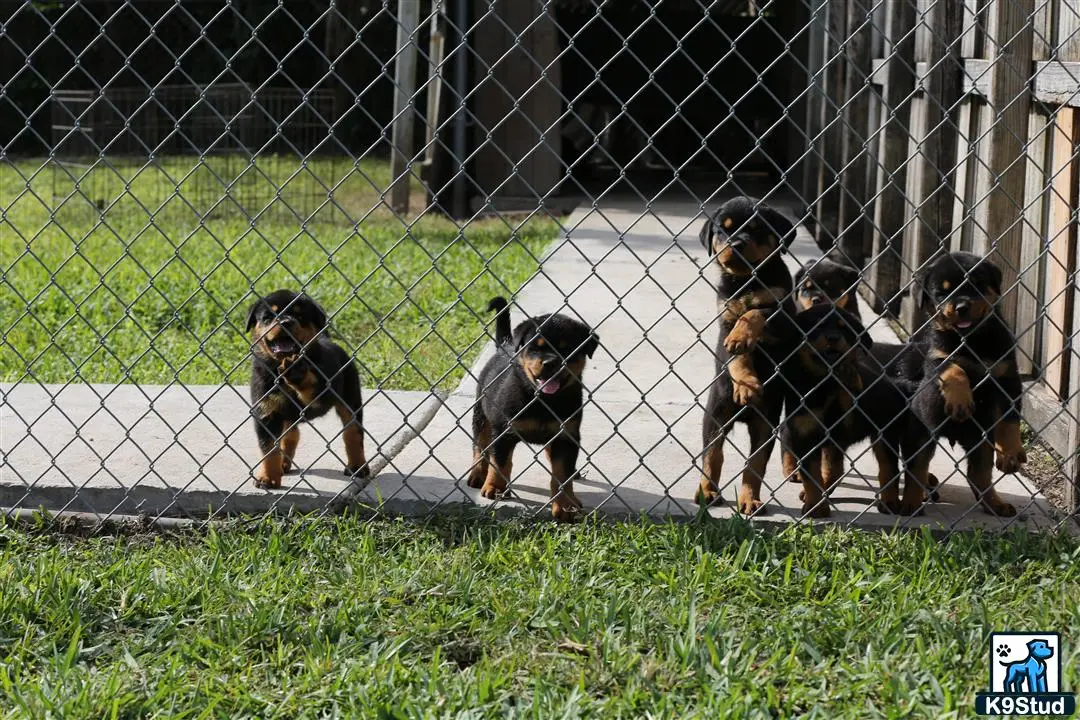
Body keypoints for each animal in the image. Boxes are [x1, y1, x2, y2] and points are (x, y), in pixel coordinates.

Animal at [245, 289, 367, 490]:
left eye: (300, 316)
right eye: (268, 317)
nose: (286, 322)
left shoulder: (321, 395)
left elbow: (311, 387)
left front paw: (297, 373)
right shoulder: (266, 410)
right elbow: (269, 448)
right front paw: (268, 478)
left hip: (351, 396)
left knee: (353, 433)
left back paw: (358, 466)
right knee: (291, 434)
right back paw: (283, 464)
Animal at [464, 295, 600, 520]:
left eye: (566, 349)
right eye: (536, 347)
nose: (550, 362)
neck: (543, 401)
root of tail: (506, 344)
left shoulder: (566, 435)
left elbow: (561, 473)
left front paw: (565, 505)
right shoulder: (503, 430)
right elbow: (500, 462)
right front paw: (495, 487)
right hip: (481, 413)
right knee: (480, 445)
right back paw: (477, 474)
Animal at [695, 194, 799, 515]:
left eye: (756, 229)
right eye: (723, 230)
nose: (737, 243)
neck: (747, 280)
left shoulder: (783, 315)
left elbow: (755, 313)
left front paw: (744, 337)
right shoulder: (724, 320)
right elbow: (735, 355)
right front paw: (746, 383)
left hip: (767, 420)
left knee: (757, 460)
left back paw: (751, 499)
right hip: (715, 414)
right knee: (712, 454)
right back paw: (707, 491)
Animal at [777, 304, 920, 518]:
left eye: (844, 328)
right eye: (818, 325)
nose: (833, 338)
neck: (823, 383)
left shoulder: (845, 426)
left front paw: (848, 372)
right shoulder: (806, 431)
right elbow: (812, 475)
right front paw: (816, 506)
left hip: (883, 434)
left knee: (888, 468)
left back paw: (889, 501)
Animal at [898, 253, 1023, 518]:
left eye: (976, 284)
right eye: (942, 293)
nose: (961, 307)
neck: (972, 340)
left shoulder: (1008, 378)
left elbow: (1009, 420)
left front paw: (1010, 454)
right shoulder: (936, 359)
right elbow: (954, 368)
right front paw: (960, 402)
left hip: (981, 440)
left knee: (978, 474)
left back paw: (995, 504)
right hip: (921, 433)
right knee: (916, 470)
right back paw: (911, 503)